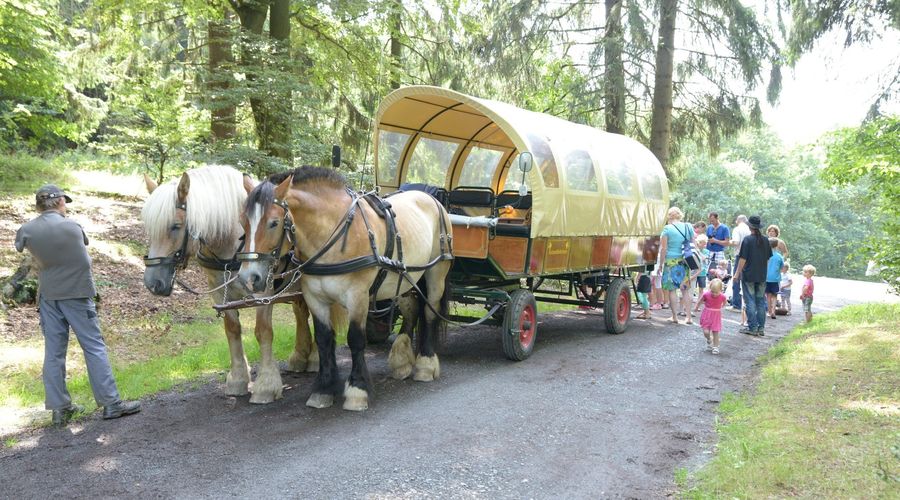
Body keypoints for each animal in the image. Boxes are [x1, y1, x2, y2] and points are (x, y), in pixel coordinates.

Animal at [141, 166, 320, 404]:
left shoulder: (263, 291)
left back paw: (315, 357)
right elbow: (232, 330)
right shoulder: (220, 292)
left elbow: (263, 331)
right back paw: (300, 356)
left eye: (175, 226)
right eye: (149, 228)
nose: (153, 283)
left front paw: (266, 385)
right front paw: (238, 378)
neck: (235, 244)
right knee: (301, 312)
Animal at [237, 167, 454, 410]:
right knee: (412, 309)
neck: (331, 231)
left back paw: (425, 364)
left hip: (436, 273)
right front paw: (323, 389)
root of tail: (432, 198)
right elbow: (323, 339)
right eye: (243, 222)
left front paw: (357, 390)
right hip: (407, 277)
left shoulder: (357, 295)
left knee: (429, 313)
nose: (248, 278)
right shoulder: (315, 297)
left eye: (273, 223)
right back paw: (401, 361)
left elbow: (356, 339)